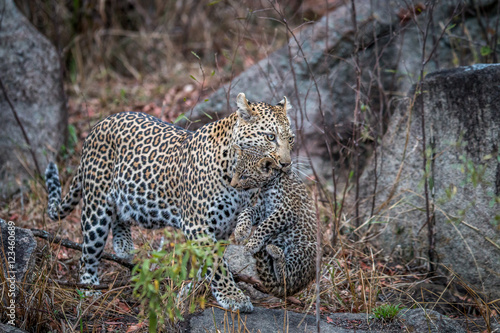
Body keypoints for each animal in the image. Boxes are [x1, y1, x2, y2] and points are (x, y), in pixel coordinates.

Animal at [44, 93, 292, 312]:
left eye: (290, 139)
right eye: (270, 137)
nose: (286, 164)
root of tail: (98, 125)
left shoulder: (224, 226)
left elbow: (208, 263)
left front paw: (193, 288)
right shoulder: (198, 225)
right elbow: (216, 264)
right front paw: (233, 297)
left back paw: (124, 246)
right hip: (96, 208)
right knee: (88, 252)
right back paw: (89, 290)